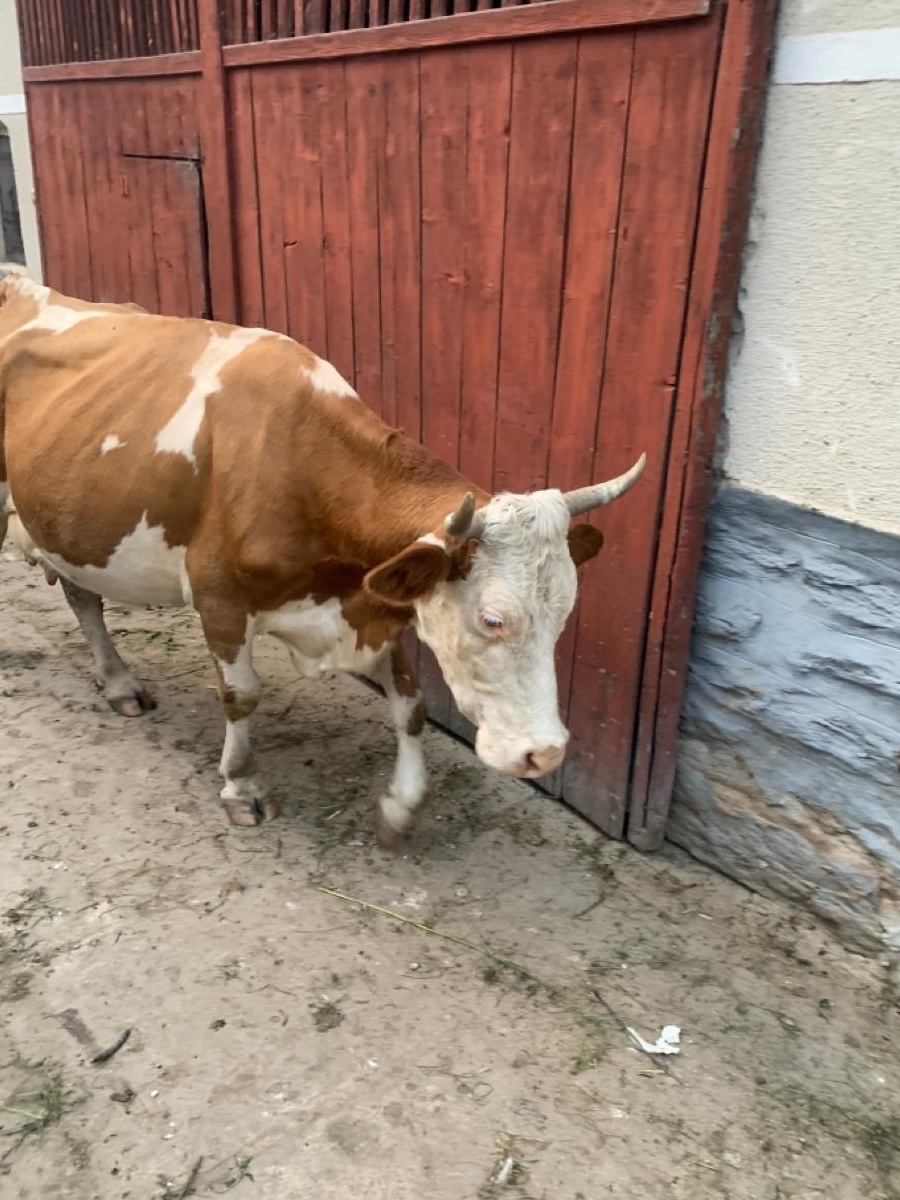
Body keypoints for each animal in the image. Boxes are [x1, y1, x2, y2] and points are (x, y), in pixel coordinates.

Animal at [0, 272, 645, 844]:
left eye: (564, 614)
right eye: (492, 619)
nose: (546, 753)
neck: (300, 464)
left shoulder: (368, 601)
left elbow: (410, 702)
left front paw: (401, 804)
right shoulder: (219, 599)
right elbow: (242, 695)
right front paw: (242, 787)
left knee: (81, 595)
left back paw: (118, 684)